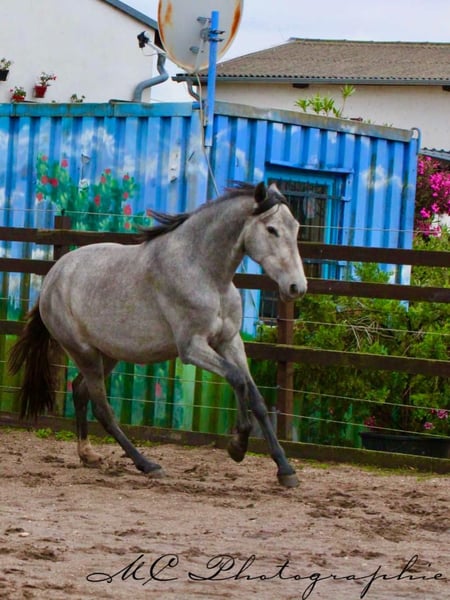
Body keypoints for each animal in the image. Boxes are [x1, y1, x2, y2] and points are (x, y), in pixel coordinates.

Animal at [9, 181, 307, 487]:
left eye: (296, 227)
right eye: (271, 229)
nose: (297, 287)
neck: (204, 273)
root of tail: (52, 277)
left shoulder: (230, 342)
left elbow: (256, 398)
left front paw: (285, 470)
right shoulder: (191, 348)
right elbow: (237, 380)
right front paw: (238, 446)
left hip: (108, 354)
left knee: (80, 392)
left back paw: (89, 455)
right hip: (84, 352)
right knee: (102, 409)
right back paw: (147, 464)